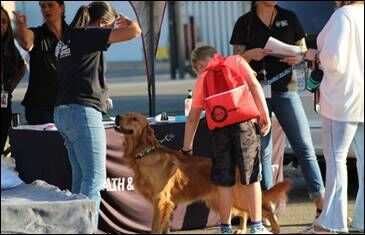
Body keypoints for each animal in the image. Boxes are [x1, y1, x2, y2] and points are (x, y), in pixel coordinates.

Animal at [114, 113, 290, 234]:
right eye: (126, 114)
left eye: (134, 118)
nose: (117, 117)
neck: (144, 153)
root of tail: (236, 168)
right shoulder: (165, 203)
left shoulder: (161, 199)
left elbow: (155, 227)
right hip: (223, 200)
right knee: (246, 213)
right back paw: (241, 229)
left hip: (238, 198)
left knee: (265, 210)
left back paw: (274, 228)